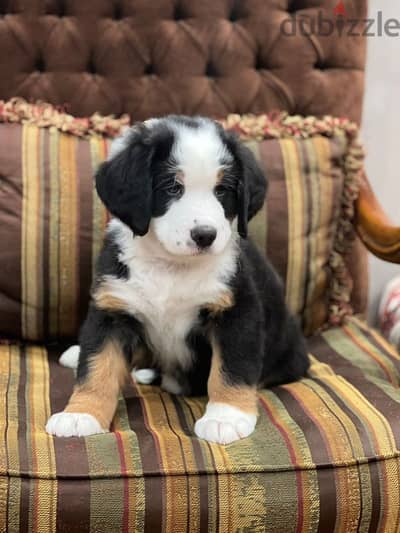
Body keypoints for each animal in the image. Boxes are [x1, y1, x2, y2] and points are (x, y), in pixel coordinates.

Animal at [46, 115, 310, 444]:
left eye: (222, 190)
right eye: (172, 187)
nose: (205, 235)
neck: (172, 266)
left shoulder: (238, 311)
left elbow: (231, 369)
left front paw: (226, 417)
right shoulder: (112, 309)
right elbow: (97, 366)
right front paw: (81, 414)